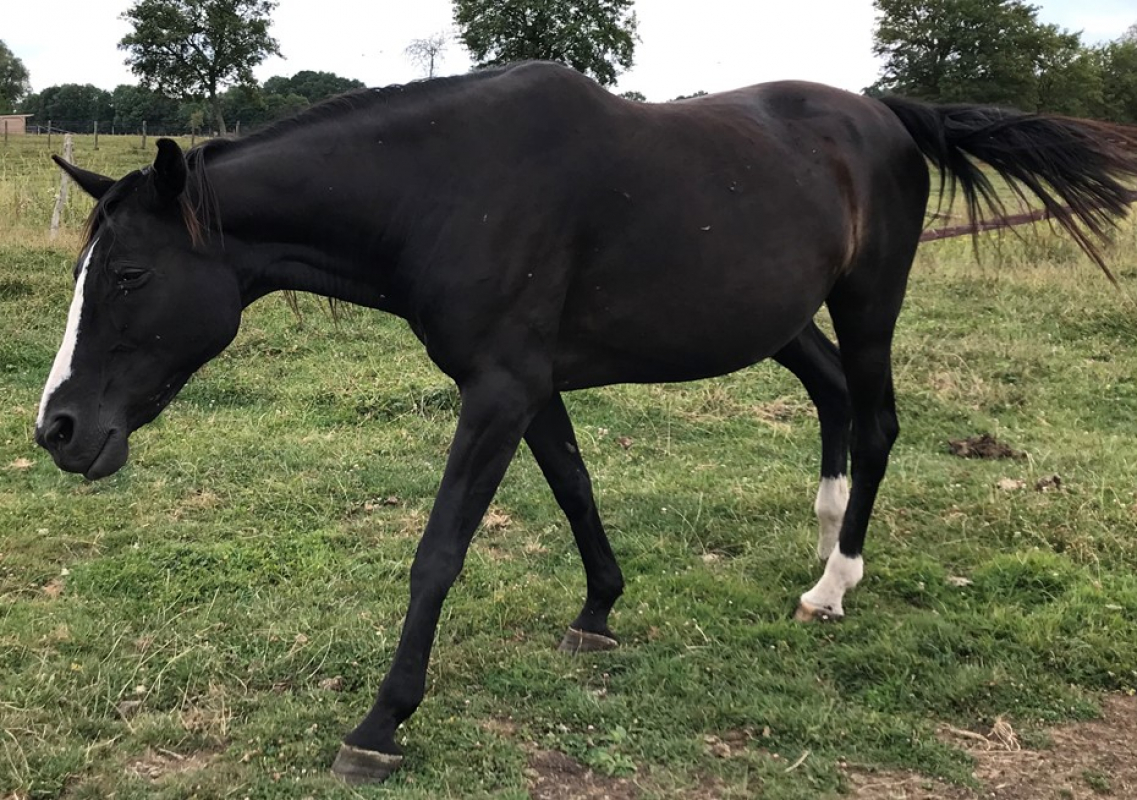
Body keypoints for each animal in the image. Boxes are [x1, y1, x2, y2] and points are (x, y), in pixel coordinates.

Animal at [34, 61, 1137, 784]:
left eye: (127, 275)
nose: (58, 430)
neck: (449, 187)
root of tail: (885, 114)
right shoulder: (527, 386)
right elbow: (573, 486)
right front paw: (600, 610)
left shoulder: (500, 388)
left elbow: (439, 550)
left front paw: (381, 721)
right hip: (784, 319)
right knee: (832, 399)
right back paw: (822, 545)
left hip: (869, 304)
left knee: (874, 424)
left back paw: (834, 585)